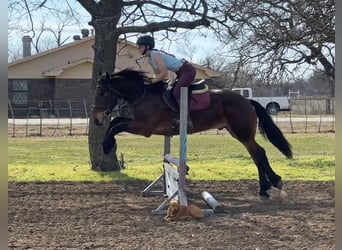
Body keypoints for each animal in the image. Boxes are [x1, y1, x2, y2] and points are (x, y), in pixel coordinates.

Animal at [94, 68, 294, 199]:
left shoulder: (144, 128)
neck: (142, 94)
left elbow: (116, 126)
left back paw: (272, 183)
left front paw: (106, 145)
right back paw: (266, 187)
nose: (96, 120)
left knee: (258, 153)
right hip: (238, 133)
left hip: (242, 133)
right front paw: (107, 143)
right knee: (257, 154)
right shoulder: (138, 124)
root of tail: (246, 100)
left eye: (103, 93)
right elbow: (115, 122)